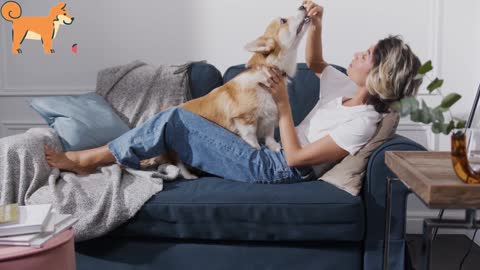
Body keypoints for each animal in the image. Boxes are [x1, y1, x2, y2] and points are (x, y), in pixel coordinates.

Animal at [141, 5, 312, 179]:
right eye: (283, 20)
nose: (302, 6)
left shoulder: (270, 117)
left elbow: (270, 135)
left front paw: (275, 147)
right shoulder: (245, 119)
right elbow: (252, 138)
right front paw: (257, 149)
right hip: (175, 148)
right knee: (178, 163)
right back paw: (189, 175)